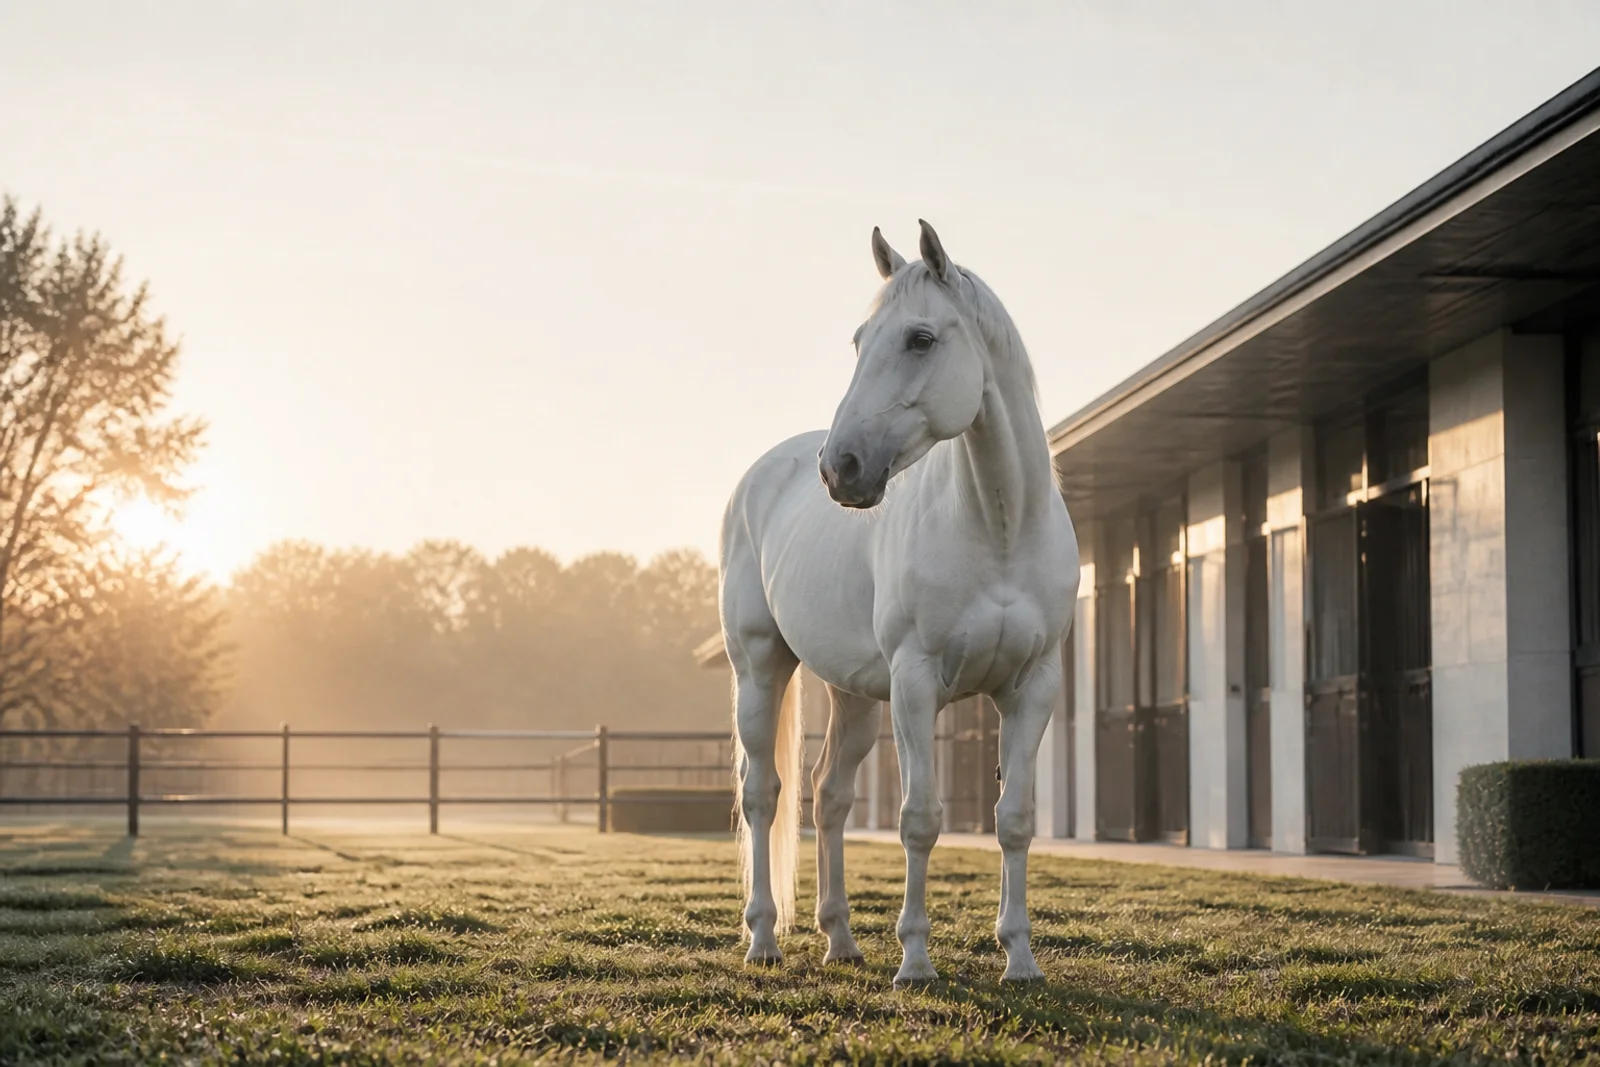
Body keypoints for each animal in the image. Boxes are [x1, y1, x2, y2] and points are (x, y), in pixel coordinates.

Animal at [718, 220, 1080, 986]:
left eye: (920, 338)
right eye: (860, 340)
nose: (841, 467)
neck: (1000, 529)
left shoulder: (1032, 687)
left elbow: (1015, 818)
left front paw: (1020, 957)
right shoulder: (917, 684)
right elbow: (920, 818)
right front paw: (915, 959)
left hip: (854, 695)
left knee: (828, 795)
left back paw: (840, 939)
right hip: (759, 669)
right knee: (763, 793)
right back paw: (763, 939)